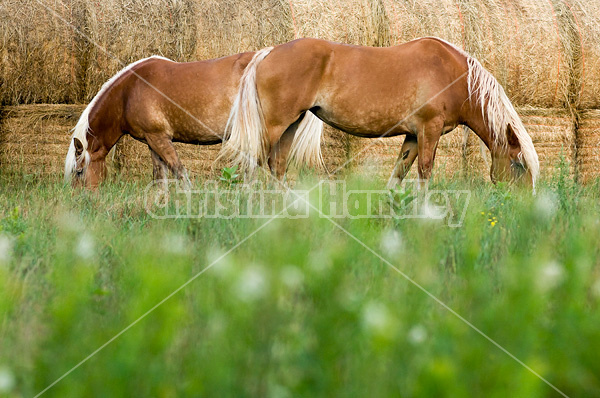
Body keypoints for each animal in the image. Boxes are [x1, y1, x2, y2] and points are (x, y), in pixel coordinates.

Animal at [64, 49, 324, 188]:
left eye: (79, 172)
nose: (81, 201)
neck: (129, 91)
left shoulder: (160, 138)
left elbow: (179, 171)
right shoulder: (152, 141)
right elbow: (160, 176)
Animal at [220, 37, 540, 188]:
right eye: (518, 166)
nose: (521, 205)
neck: (454, 74)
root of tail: (268, 52)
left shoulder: (413, 136)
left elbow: (399, 172)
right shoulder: (429, 130)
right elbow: (425, 171)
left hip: (290, 125)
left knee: (277, 166)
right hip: (274, 126)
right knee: (254, 164)